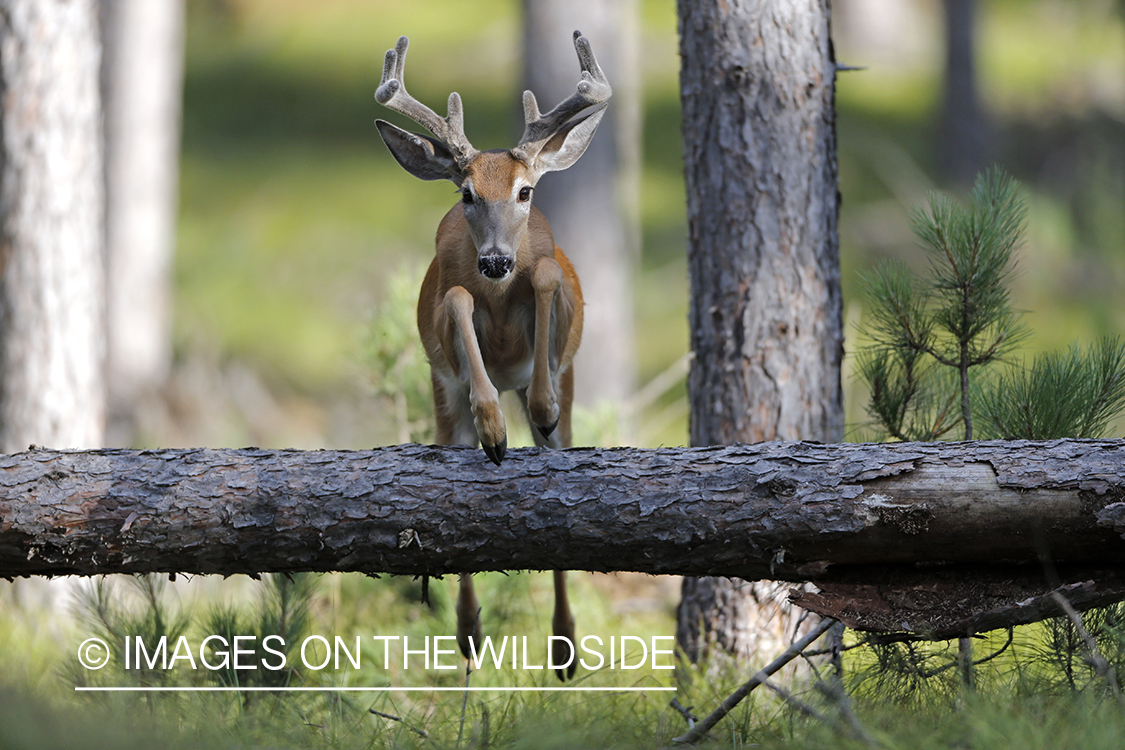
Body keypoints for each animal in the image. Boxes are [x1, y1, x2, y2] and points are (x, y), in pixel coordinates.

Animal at [373, 32, 612, 683]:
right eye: (467, 194)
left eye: (525, 191)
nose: (498, 261)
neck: (503, 321)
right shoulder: (446, 331)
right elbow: (457, 298)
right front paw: (494, 426)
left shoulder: (559, 319)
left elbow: (549, 273)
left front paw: (540, 406)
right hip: (440, 402)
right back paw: (469, 632)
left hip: (570, 398)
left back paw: (564, 645)